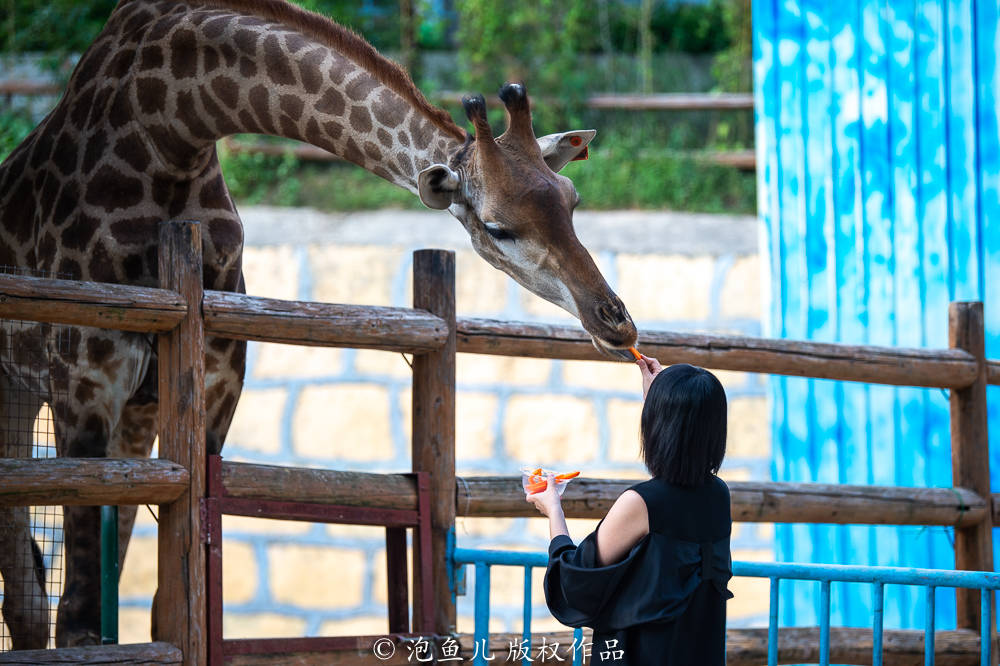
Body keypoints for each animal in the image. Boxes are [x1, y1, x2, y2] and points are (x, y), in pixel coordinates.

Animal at [0, 0, 640, 644]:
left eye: (572, 198)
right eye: (497, 227)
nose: (618, 323)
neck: (171, 131)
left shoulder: (212, 385)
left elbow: (174, 606)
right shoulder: (85, 381)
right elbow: (81, 616)